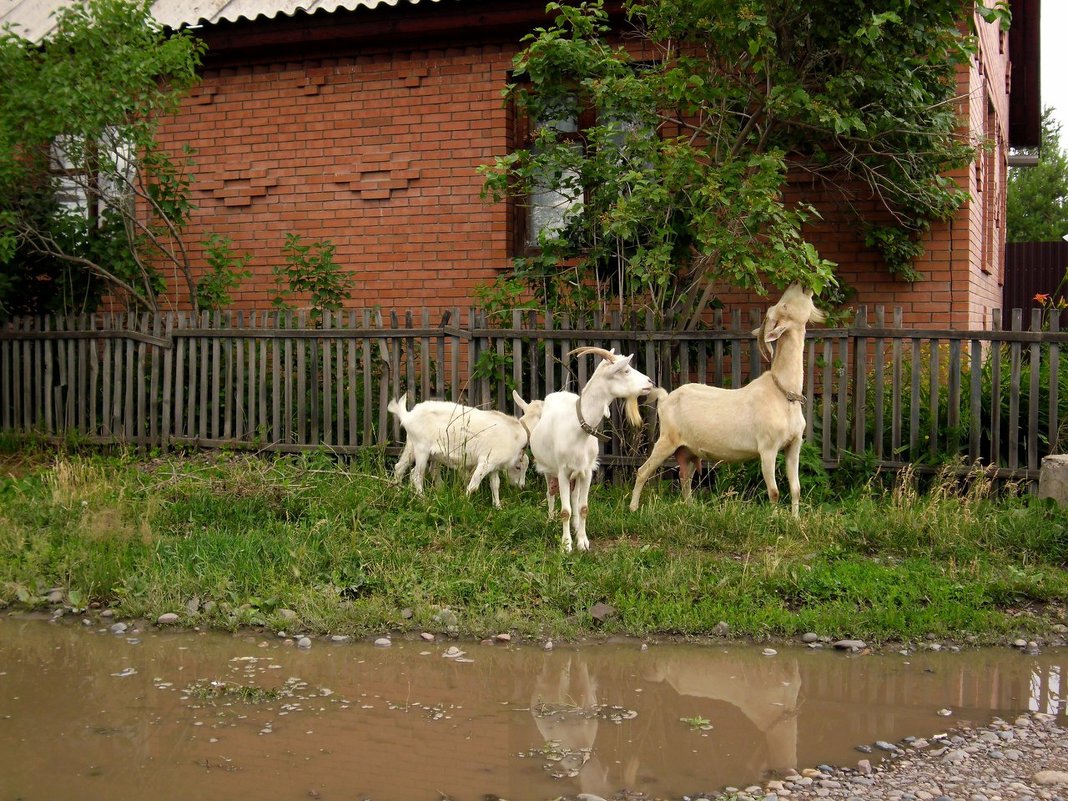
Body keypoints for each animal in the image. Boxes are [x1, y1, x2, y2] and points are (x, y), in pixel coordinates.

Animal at [388, 395, 542, 508]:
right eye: (518, 467)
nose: (521, 486)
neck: (515, 432)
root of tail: (408, 416)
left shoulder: (494, 465)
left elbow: (495, 485)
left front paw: (498, 507)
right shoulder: (485, 462)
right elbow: (473, 485)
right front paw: (464, 502)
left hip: (411, 446)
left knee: (399, 467)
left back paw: (397, 492)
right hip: (421, 449)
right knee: (416, 475)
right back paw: (423, 499)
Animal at [514, 348, 649, 555]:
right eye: (626, 370)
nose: (650, 382)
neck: (579, 429)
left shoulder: (587, 471)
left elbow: (583, 507)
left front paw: (582, 541)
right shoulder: (563, 471)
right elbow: (565, 511)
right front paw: (566, 545)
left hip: (577, 474)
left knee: (574, 497)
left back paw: (576, 526)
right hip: (549, 469)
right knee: (550, 492)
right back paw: (550, 518)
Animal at [623, 286, 824, 516]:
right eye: (784, 306)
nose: (801, 285)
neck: (783, 394)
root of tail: (665, 398)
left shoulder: (794, 444)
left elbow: (796, 488)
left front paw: (795, 519)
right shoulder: (768, 447)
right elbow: (774, 492)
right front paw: (775, 520)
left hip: (689, 449)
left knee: (685, 477)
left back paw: (690, 508)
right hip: (667, 439)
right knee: (643, 471)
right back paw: (633, 508)